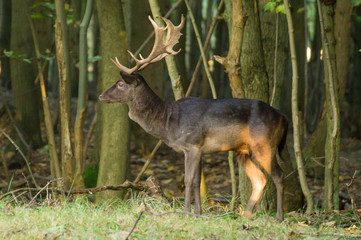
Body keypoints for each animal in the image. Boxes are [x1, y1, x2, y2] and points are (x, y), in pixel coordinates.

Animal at [98, 14, 286, 221]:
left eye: (120, 84)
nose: (101, 96)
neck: (169, 121)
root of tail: (284, 118)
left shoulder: (192, 144)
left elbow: (188, 180)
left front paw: (186, 211)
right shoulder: (200, 149)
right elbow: (197, 181)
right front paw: (198, 213)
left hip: (264, 143)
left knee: (278, 176)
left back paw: (279, 217)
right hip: (244, 150)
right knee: (259, 179)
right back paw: (246, 215)